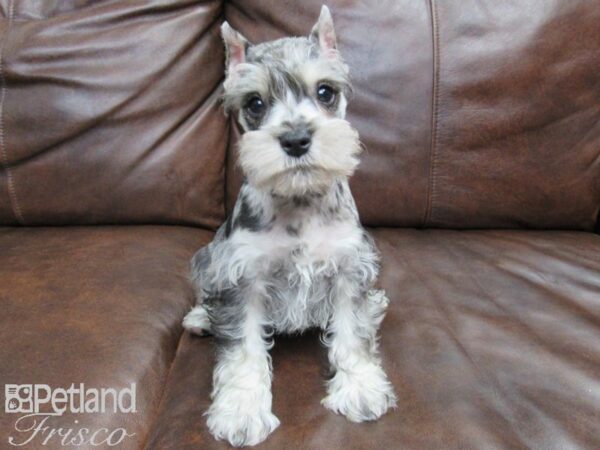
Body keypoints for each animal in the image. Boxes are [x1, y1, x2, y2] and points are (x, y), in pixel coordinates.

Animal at [183, 6, 398, 446]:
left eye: (326, 92)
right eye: (255, 102)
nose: (296, 139)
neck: (299, 202)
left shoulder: (349, 269)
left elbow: (352, 334)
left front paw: (361, 389)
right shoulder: (242, 279)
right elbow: (243, 350)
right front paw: (242, 410)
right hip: (208, 258)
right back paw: (200, 318)